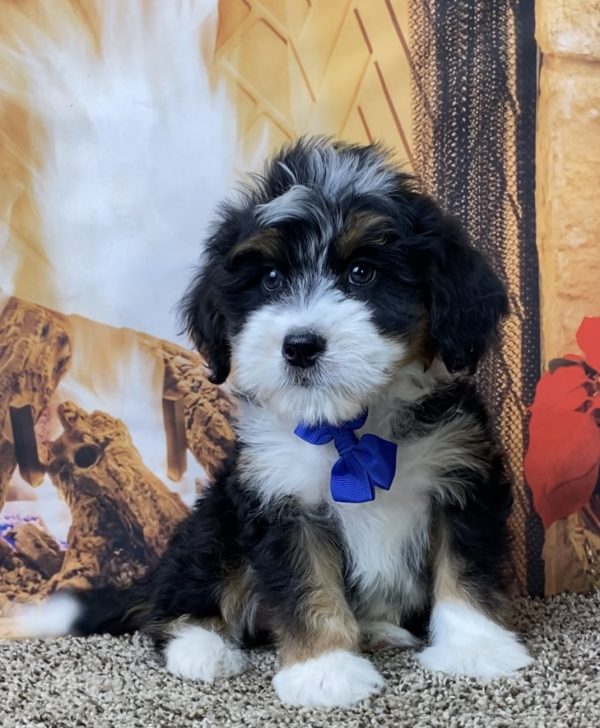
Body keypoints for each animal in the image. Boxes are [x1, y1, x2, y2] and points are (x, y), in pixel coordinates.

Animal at [14, 135, 532, 704]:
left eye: (362, 272)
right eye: (270, 278)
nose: (300, 345)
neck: (351, 428)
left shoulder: (460, 474)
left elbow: (464, 566)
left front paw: (475, 649)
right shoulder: (280, 498)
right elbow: (308, 587)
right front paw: (325, 671)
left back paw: (378, 629)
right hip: (215, 523)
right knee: (177, 603)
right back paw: (202, 649)